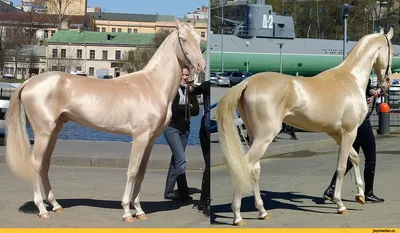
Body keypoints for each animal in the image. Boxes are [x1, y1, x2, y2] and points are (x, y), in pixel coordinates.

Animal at [4, 19, 206, 223]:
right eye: (183, 39)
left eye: (198, 39)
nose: (201, 65)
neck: (151, 86)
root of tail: (29, 82)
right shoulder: (140, 137)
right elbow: (132, 172)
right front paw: (127, 212)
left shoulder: (150, 140)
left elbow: (141, 173)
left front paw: (139, 210)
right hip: (43, 133)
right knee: (35, 163)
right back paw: (42, 209)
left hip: (54, 131)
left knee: (44, 164)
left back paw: (55, 205)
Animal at [216, 27, 394, 226]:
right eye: (393, 51)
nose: (387, 81)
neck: (350, 79)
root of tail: (247, 82)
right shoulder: (349, 133)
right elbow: (341, 167)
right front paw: (340, 204)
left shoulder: (338, 135)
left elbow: (354, 158)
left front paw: (360, 195)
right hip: (264, 137)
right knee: (244, 166)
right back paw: (237, 216)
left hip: (255, 137)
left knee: (254, 170)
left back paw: (262, 211)